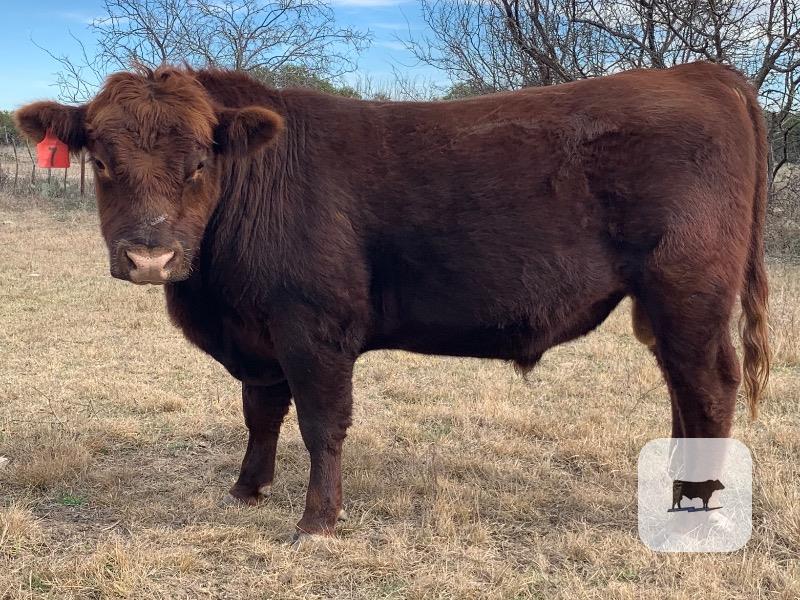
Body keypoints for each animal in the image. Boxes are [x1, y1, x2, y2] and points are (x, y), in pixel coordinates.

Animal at [15, 61, 770, 539]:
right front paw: (247, 489)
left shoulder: (313, 326)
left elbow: (321, 423)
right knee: (682, 389)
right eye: (101, 161)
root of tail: (699, 73)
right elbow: (261, 413)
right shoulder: (261, 333)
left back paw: (695, 507)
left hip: (688, 290)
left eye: (200, 160)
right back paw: (677, 488)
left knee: (708, 386)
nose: (151, 257)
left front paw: (317, 521)